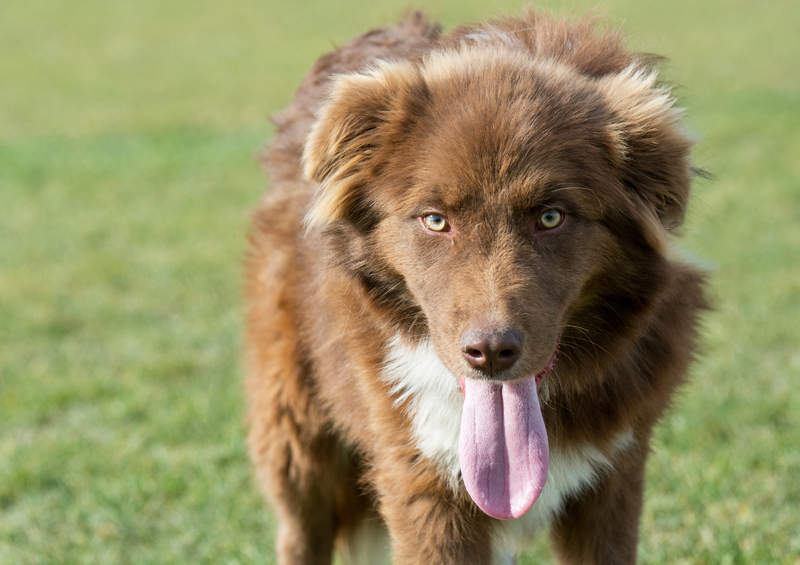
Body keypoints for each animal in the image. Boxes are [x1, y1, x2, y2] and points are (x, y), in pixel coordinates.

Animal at [245, 9, 708, 564]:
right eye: (434, 220)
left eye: (551, 217)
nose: (490, 352)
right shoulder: (421, 479)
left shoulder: (616, 471)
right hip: (295, 425)